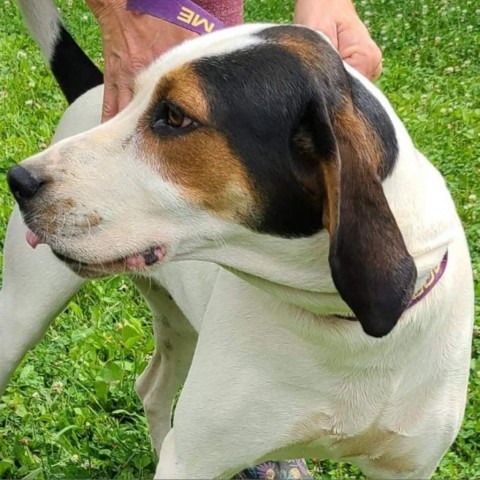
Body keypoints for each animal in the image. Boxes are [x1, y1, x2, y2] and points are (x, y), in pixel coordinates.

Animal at [0, 1, 472, 478]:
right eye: (136, 98)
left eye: (175, 116)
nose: (19, 180)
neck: (347, 329)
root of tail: (92, 90)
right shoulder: (193, 459)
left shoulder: (408, 467)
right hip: (21, 317)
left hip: (179, 324)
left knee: (150, 389)